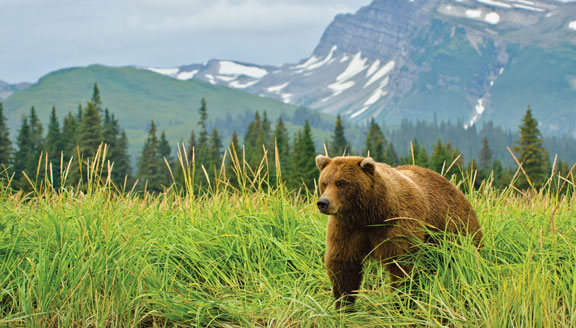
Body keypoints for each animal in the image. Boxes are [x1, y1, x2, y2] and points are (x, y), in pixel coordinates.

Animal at [316, 155, 482, 308]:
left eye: (341, 183)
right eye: (324, 182)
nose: (323, 202)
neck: (369, 215)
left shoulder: (397, 225)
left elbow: (403, 265)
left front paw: (401, 303)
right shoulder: (347, 228)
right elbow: (343, 265)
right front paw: (344, 306)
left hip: (454, 228)